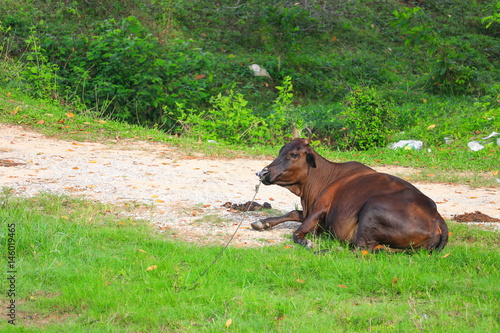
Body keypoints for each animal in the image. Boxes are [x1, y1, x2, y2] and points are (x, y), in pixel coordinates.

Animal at [252, 136, 448, 250]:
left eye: (293, 154)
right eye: (280, 151)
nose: (263, 172)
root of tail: (438, 219)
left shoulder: (320, 208)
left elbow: (297, 233)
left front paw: (307, 242)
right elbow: (293, 212)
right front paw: (262, 222)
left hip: (371, 210)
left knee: (359, 250)